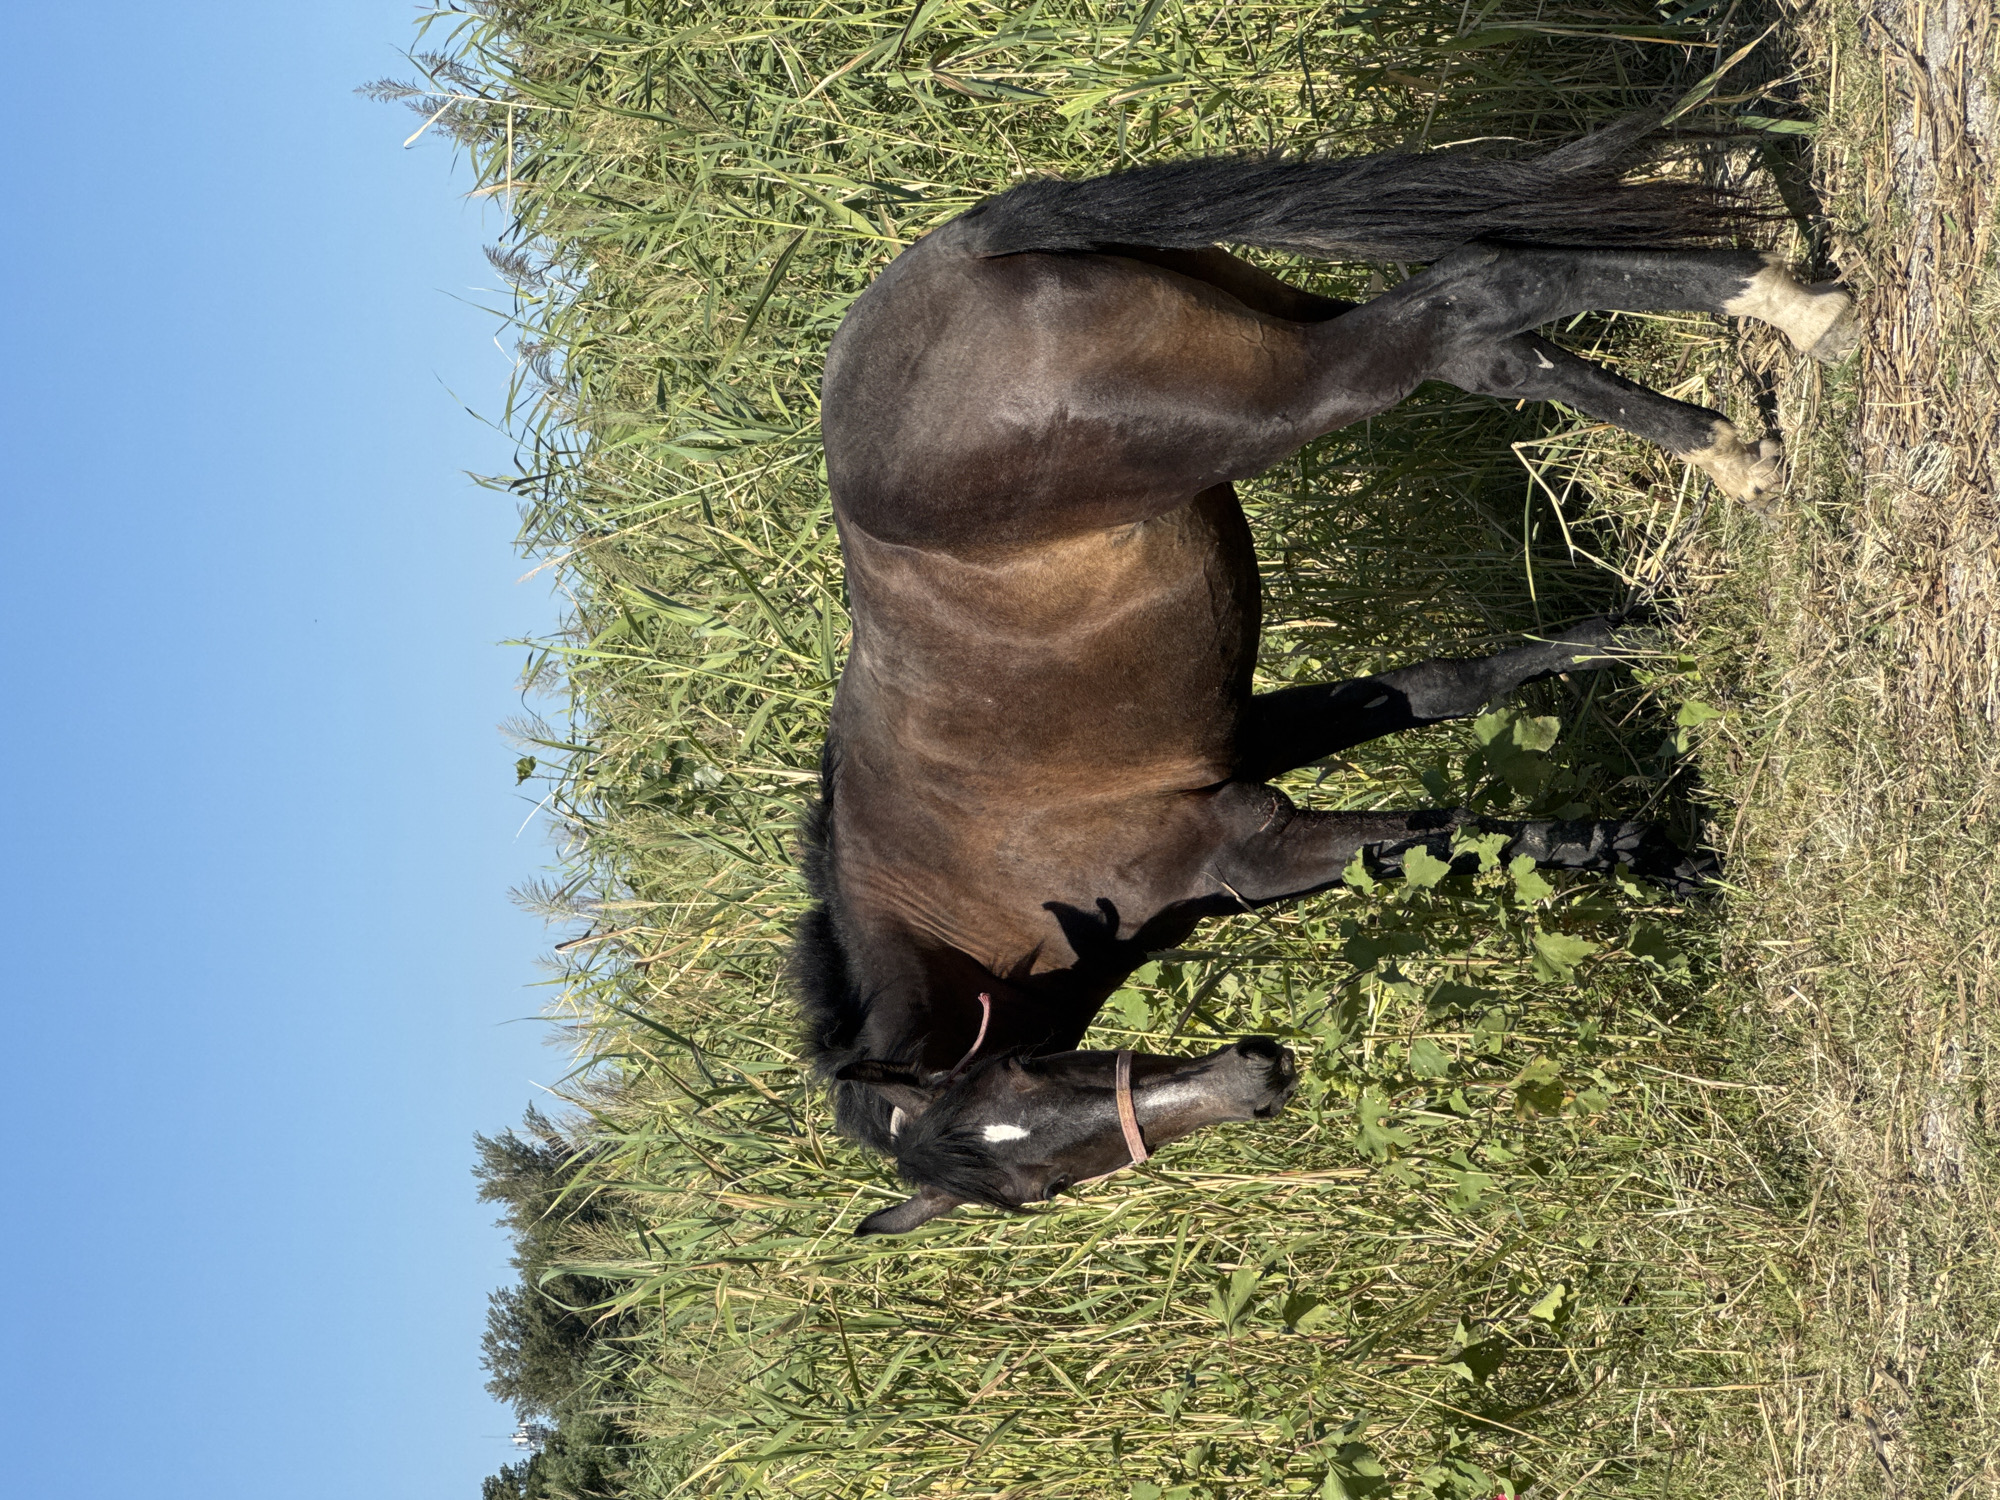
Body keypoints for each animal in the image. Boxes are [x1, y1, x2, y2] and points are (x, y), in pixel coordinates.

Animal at [793, 126, 1854, 1236]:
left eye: (1027, 1098)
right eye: (1038, 1185)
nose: (1255, 1079)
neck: (971, 872)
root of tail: (960, 249)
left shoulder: (1253, 839)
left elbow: (1459, 841)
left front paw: (1667, 851)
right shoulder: (1252, 742)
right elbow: (1452, 691)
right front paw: (1644, 659)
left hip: (1285, 392)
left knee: (1472, 297)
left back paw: (1797, 314)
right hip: (1272, 328)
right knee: (1489, 343)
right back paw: (1735, 443)